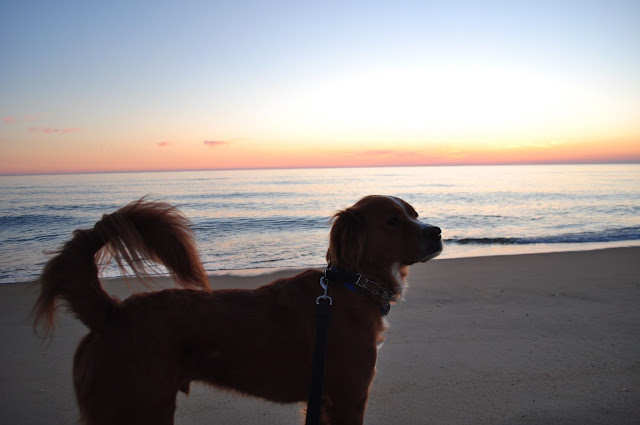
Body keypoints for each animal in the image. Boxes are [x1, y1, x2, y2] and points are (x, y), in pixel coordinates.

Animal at [33, 195, 442, 425]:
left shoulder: (326, 401)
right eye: (392, 220)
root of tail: (111, 312)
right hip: (140, 408)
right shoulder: (348, 397)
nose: (436, 231)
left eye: (414, 213)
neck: (350, 284)